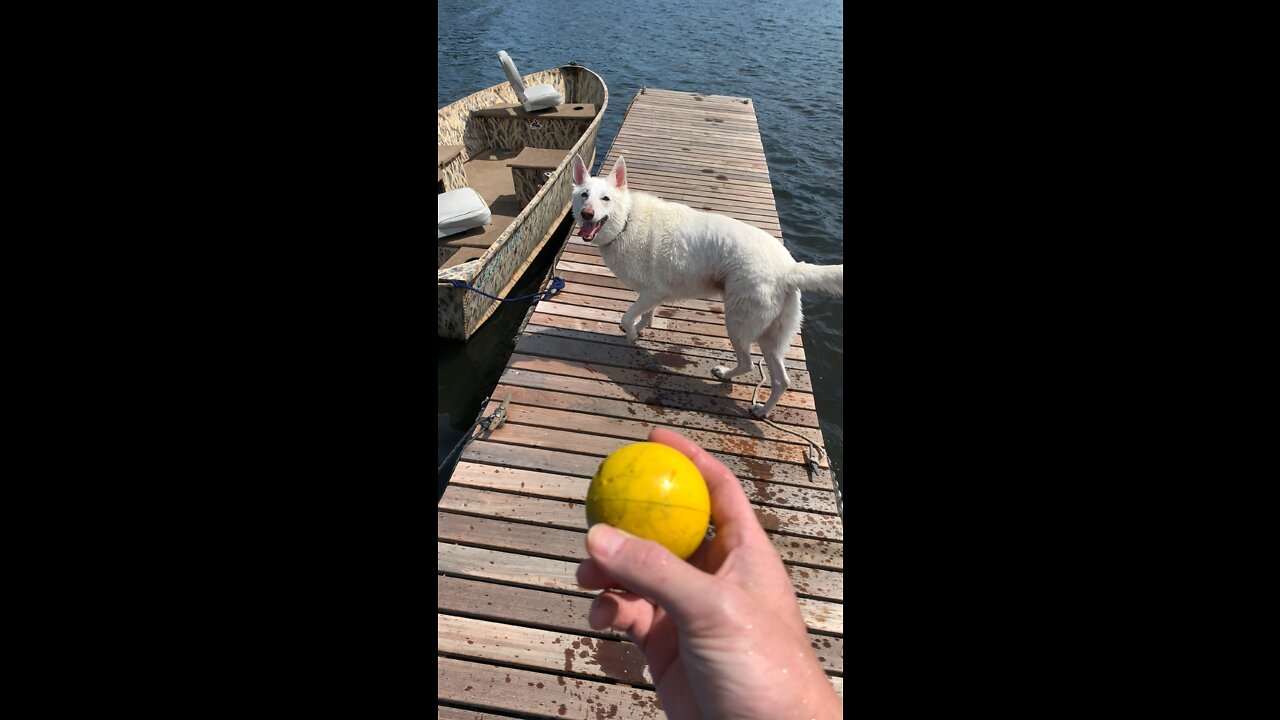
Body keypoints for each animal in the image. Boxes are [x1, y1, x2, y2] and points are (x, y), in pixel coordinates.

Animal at [576, 154, 844, 417]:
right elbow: (646, 315)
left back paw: (726, 375)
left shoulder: (652, 292)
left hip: (737, 323)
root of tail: (790, 268)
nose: (586, 214)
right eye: (584, 195)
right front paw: (639, 329)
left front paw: (631, 333)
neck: (626, 221)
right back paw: (762, 410)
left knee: (748, 363)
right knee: (781, 381)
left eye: (606, 198)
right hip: (771, 338)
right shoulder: (653, 294)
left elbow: (626, 316)